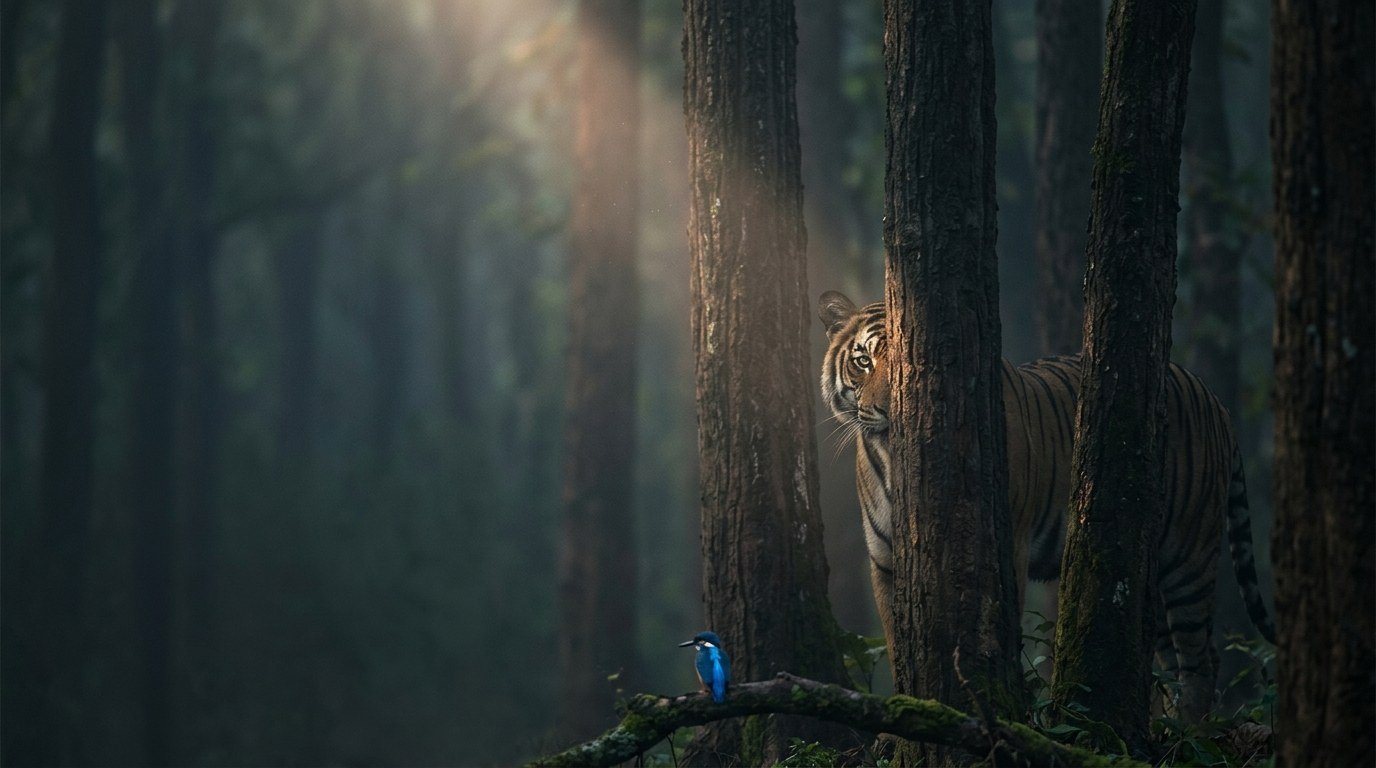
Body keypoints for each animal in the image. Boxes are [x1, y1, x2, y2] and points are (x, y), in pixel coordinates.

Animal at [817, 291, 1275, 721]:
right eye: (862, 361)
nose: (887, 410)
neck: (897, 461)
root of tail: (1214, 397)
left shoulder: (1009, 545)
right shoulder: (884, 559)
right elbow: (898, 646)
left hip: (1188, 556)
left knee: (1201, 662)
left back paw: (1191, 732)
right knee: (1168, 661)